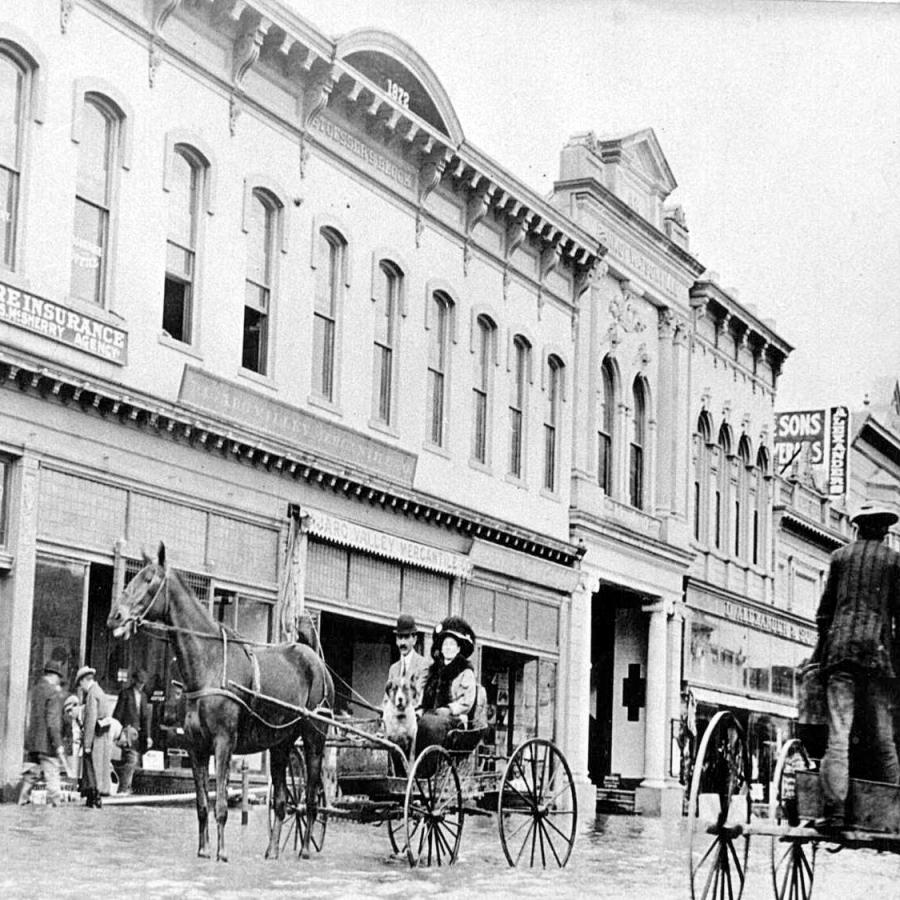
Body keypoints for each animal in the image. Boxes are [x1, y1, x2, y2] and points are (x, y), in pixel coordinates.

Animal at [108, 544, 334, 860]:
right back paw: (272, 851)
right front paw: (203, 850)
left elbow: (222, 805)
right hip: (281, 744)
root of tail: (315, 659)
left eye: (149, 579)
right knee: (281, 801)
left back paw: (303, 849)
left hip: (314, 739)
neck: (209, 664)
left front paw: (222, 853)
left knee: (312, 797)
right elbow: (203, 804)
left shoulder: (223, 743)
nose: (115, 616)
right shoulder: (196, 747)